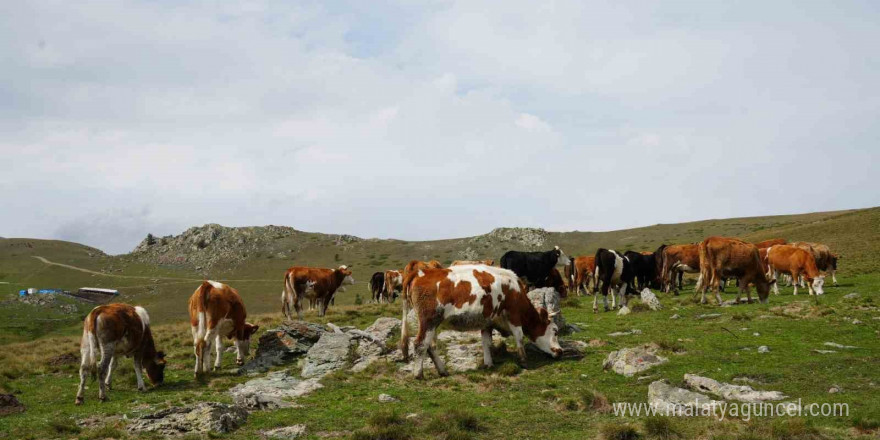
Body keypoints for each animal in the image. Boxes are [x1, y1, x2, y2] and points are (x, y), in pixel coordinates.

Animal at [400, 264, 560, 378]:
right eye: (555, 331)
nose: (561, 351)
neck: (516, 290)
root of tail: (421, 272)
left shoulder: (487, 321)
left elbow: (486, 343)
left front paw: (488, 363)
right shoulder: (514, 315)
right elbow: (519, 337)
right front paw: (524, 360)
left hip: (432, 323)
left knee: (430, 346)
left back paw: (442, 370)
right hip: (428, 320)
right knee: (420, 344)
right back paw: (418, 374)